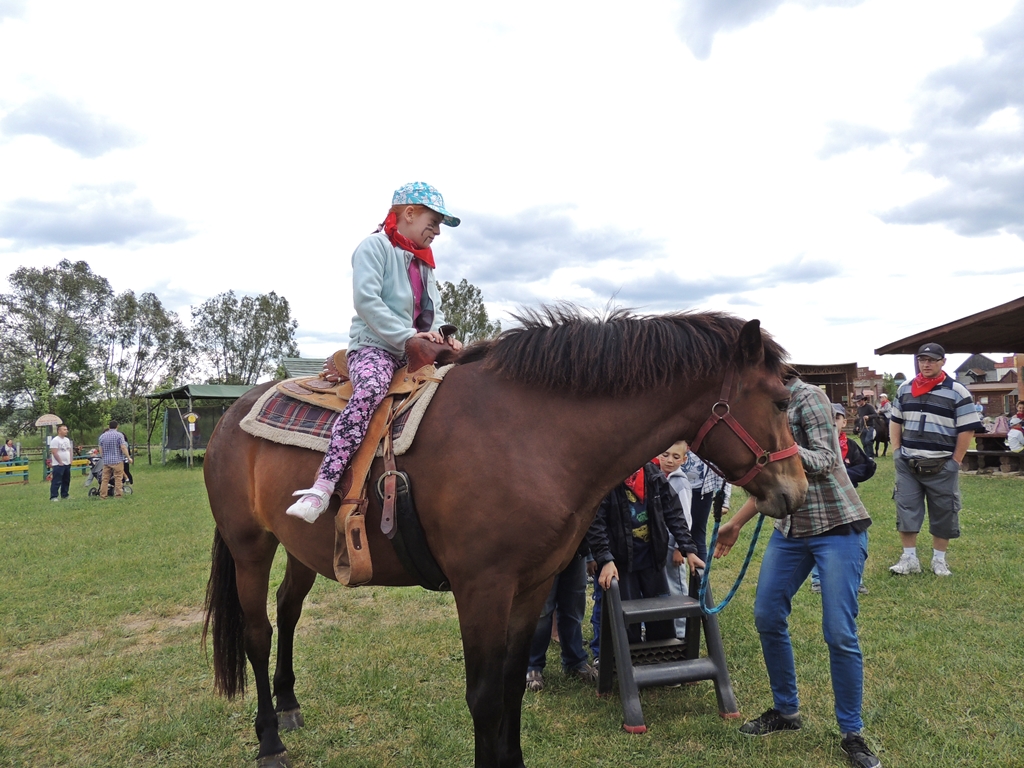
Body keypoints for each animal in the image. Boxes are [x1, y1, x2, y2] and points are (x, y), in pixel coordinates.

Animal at [202, 307, 808, 768]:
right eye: (781, 400)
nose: (797, 490)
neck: (529, 435)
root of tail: (230, 417)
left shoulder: (531, 586)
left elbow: (513, 686)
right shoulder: (482, 590)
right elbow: (485, 696)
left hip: (301, 550)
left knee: (288, 611)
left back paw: (289, 705)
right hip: (250, 547)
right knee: (258, 632)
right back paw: (270, 741)